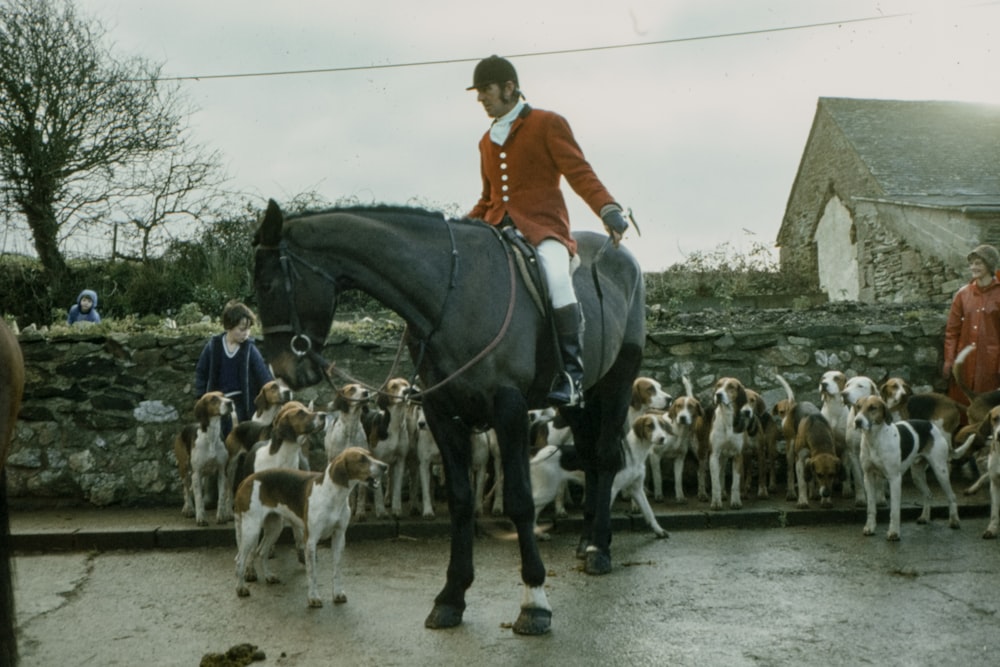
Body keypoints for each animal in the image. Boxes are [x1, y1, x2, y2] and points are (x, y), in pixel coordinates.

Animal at [249, 200, 640, 636]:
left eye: (267, 285)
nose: (285, 373)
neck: (451, 297)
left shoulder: (509, 410)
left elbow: (519, 500)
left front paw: (535, 600)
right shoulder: (442, 414)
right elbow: (460, 501)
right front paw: (452, 597)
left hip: (619, 378)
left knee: (604, 457)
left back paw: (599, 549)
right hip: (579, 398)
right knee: (589, 457)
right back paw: (588, 540)